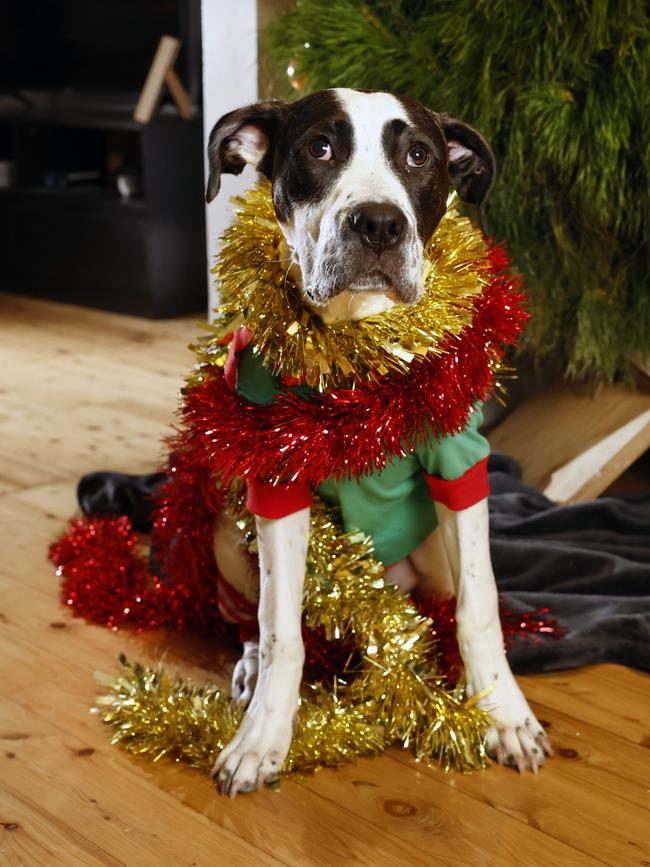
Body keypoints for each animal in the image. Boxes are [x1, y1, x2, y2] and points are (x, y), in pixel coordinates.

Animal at [201, 90, 548, 800]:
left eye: (418, 155)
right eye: (319, 148)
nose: (379, 225)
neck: (358, 350)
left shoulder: (458, 461)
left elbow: (480, 607)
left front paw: (504, 713)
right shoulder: (275, 477)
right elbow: (279, 630)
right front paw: (263, 737)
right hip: (225, 527)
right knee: (249, 617)